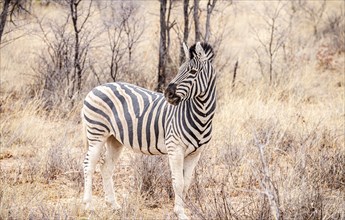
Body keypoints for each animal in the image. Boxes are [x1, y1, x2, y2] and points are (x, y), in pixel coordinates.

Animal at [82, 41, 215, 220]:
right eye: (179, 69)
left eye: (193, 72)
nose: (168, 93)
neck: (201, 115)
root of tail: (96, 88)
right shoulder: (175, 148)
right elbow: (178, 182)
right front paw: (179, 213)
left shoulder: (196, 153)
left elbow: (186, 183)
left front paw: (182, 210)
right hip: (97, 133)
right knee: (89, 165)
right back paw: (89, 206)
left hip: (114, 139)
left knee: (106, 167)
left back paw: (114, 205)